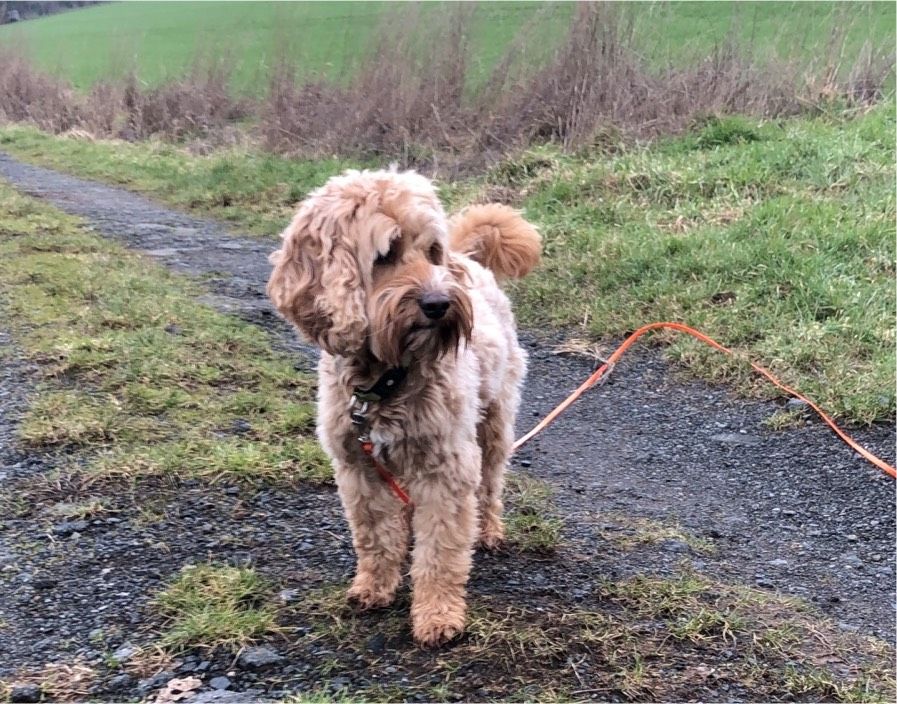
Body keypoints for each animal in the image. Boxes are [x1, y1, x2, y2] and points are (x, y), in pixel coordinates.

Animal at [266, 168, 540, 648]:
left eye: (431, 251)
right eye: (386, 254)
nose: (439, 304)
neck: (385, 380)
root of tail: (470, 262)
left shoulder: (448, 466)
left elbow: (441, 552)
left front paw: (437, 615)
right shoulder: (357, 467)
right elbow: (374, 536)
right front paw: (374, 587)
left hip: (494, 423)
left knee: (489, 486)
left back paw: (488, 530)